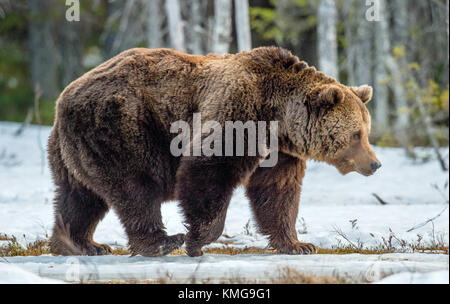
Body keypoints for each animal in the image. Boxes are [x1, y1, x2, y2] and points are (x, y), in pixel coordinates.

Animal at [48, 47, 380, 256]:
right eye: (356, 134)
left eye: (367, 131)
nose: (375, 163)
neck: (278, 117)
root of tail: (64, 96)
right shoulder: (238, 112)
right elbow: (208, 172)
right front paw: (197, 239)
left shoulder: (280, 152)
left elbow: (278, 193)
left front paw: (298, 244)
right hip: (120, 126)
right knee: (135, 189)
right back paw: (162, 242)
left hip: (73, 149)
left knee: (79, 197)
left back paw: (78, 243)